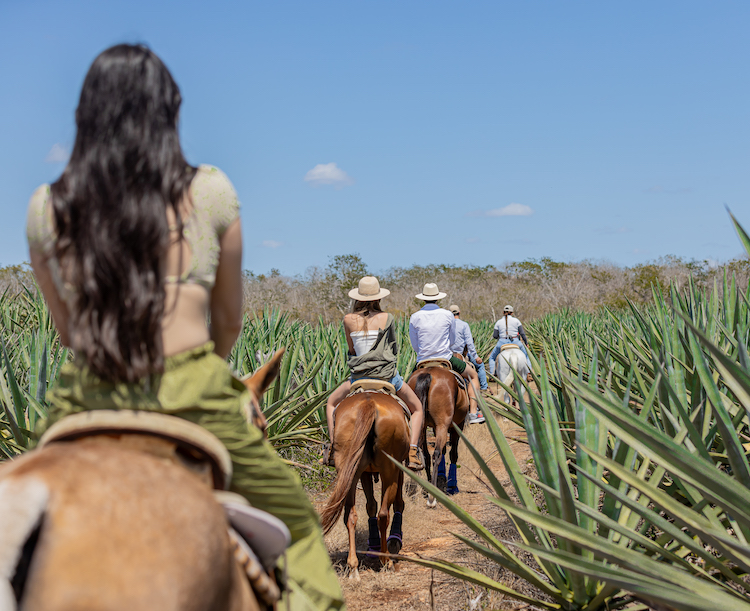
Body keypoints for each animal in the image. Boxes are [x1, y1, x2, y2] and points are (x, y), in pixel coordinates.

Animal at [318, 390, 408, 580]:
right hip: (389, 469)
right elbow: (397, 503)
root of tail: (368, 403)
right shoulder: (398, 468)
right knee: (383, 514)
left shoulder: (365, 472)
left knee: (350, 515)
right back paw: (385, 560)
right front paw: (394, 541)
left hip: (349, 469)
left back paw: (353, 567)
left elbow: (370, 505)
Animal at [412, 366, 470, 510]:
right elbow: (453, 454)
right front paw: (452, 486)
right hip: (443, 424)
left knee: (424, 455)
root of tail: (428, 373)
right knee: (436, 454)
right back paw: (432, 499)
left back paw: (426, 488)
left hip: (420, 424)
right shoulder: (457, 426)